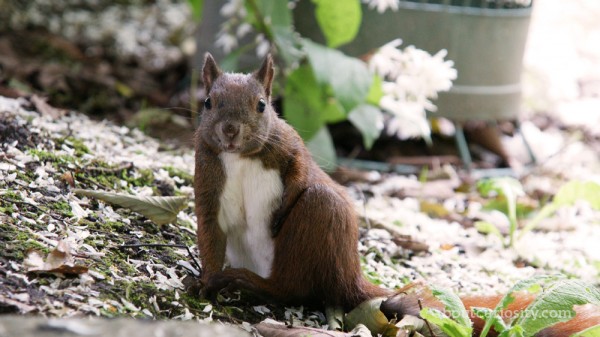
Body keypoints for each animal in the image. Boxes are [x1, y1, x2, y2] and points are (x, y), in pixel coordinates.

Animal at [193, 52, 600, 334]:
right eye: (208, 102)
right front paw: (206, 283)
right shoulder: (207, 179)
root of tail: (351, 276)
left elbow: (300, 174)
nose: (230, 131)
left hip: (319, 217)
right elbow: (209, 231)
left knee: (293, 286)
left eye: (262, 106)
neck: (240, 157)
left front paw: (281, 212)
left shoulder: (290, 146)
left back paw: (253, 284)